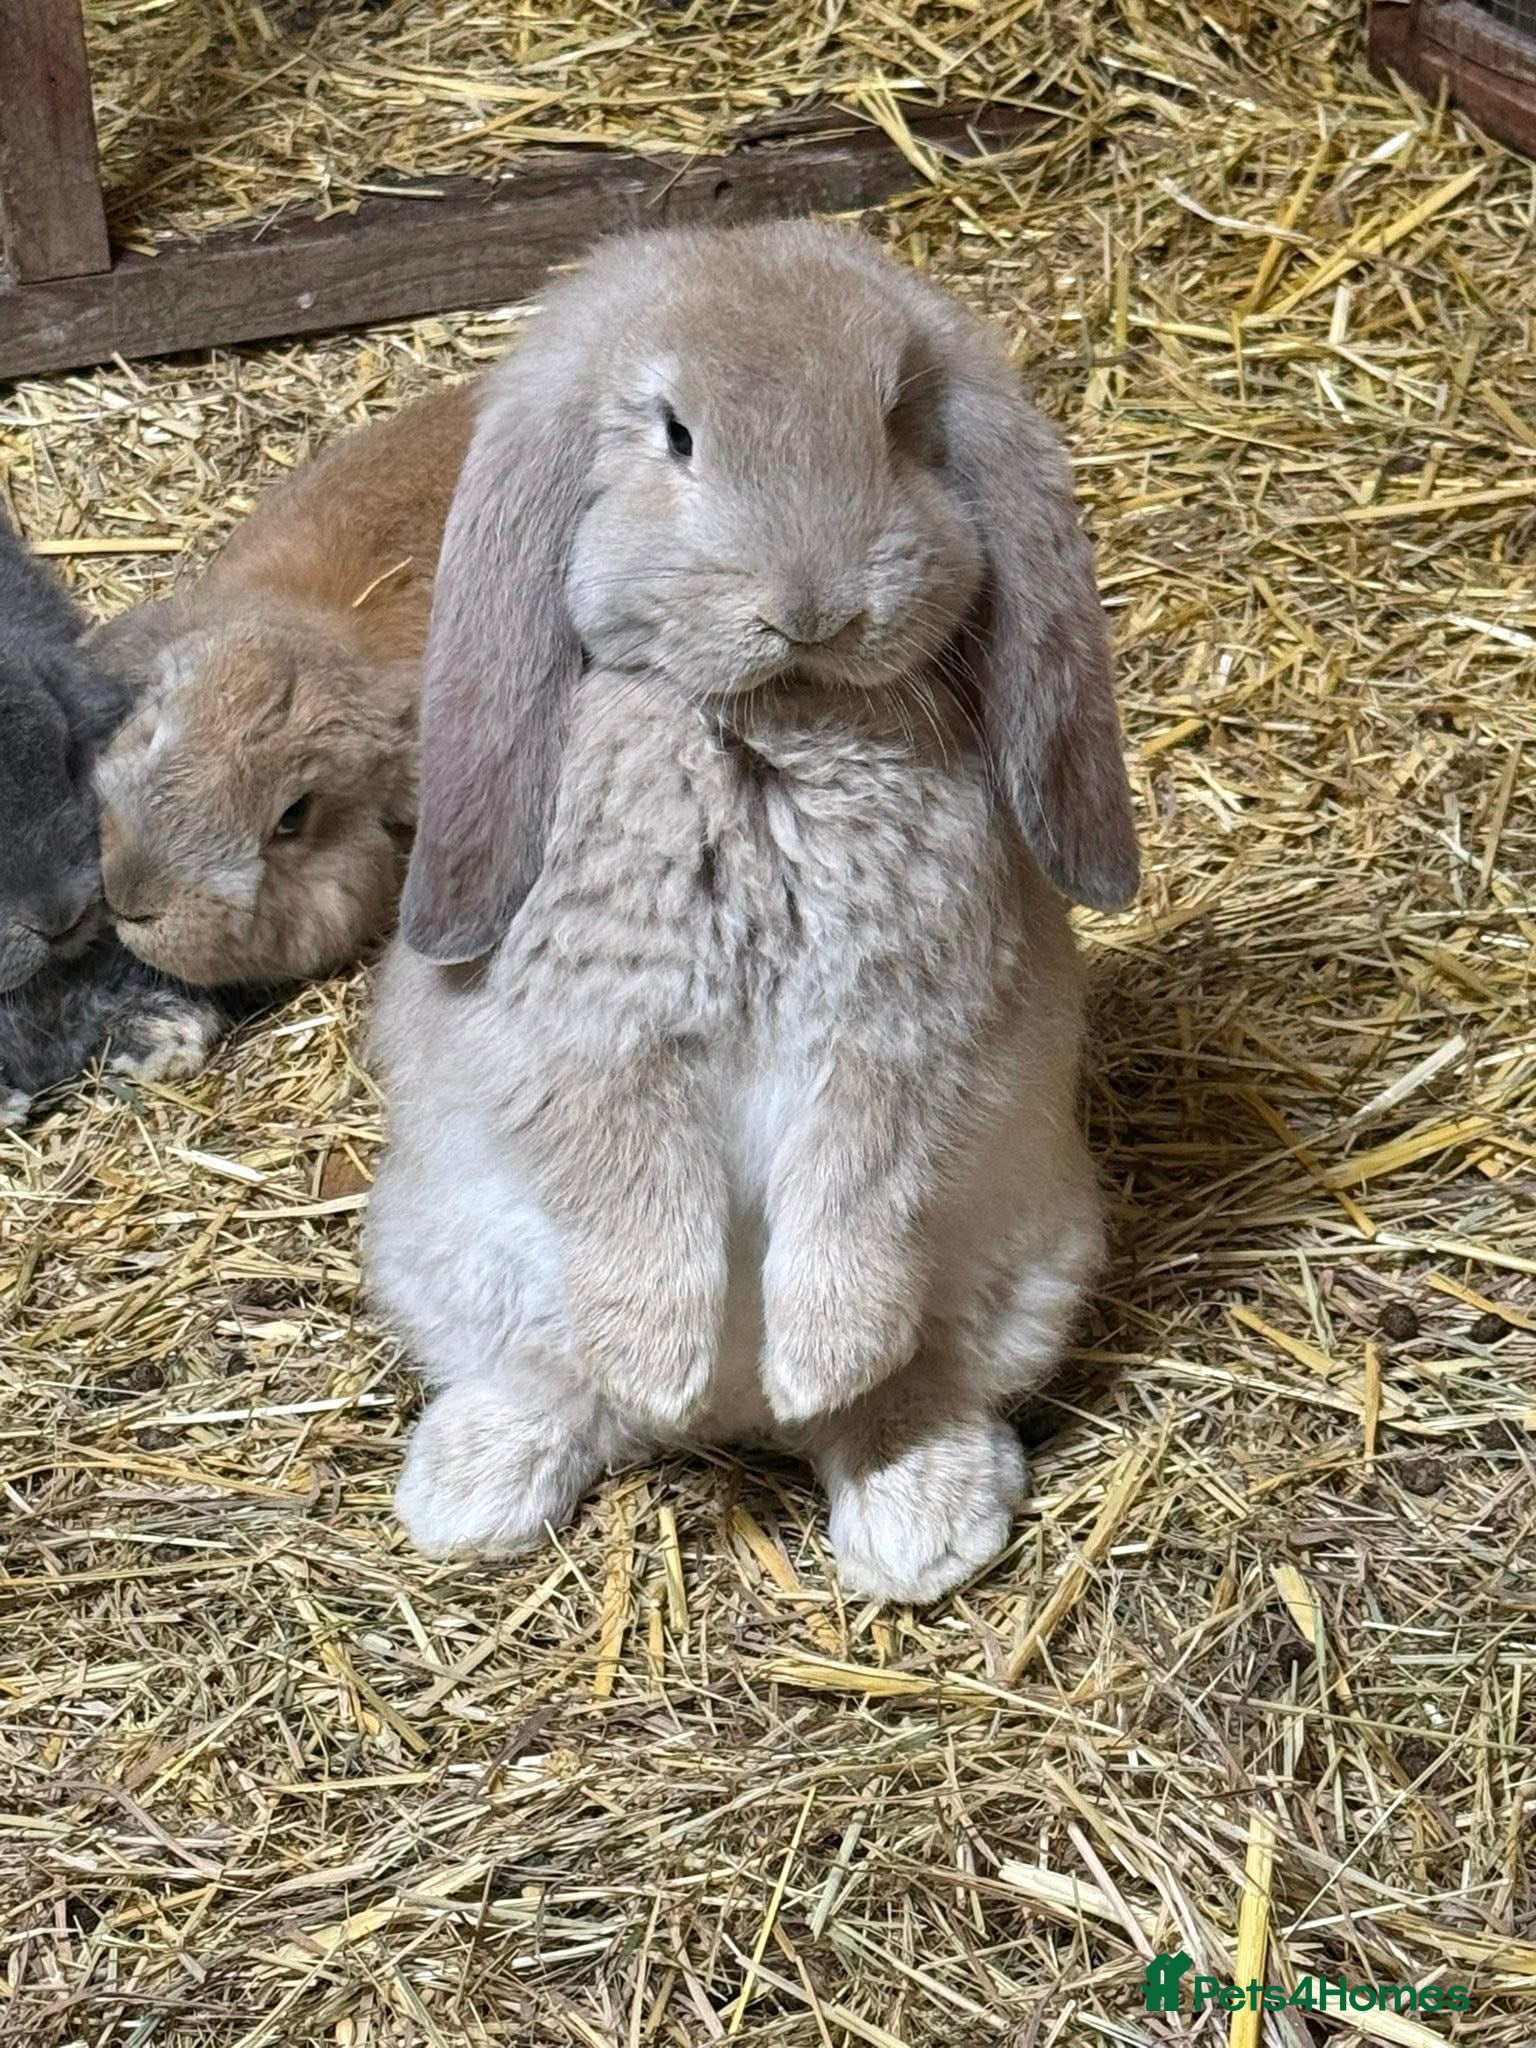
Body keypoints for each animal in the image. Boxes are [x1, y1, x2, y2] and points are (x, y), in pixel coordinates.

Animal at [365, 221, 1139, 1605]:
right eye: (674, 432)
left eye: (897, 422)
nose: (813, 606)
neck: (773, 729)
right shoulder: (596, 1043)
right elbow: (633, 1192)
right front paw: (662, 1360)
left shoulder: (897, 1039)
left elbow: (859, 1191)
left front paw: (815, 1355)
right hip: (451, 1249)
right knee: (560, 1383)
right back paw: (489, 1484)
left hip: (1026, 1256)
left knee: (908, 1389)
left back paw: (909, 1511)